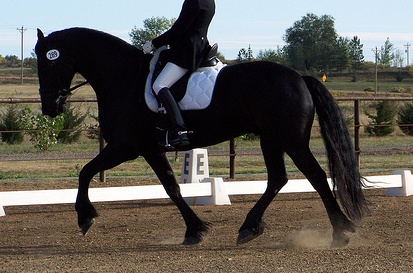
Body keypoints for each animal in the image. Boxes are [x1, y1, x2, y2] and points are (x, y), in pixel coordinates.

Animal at [34, 28, 366, 246]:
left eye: (48, 61)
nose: (49, 107)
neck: (123, 78)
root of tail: (299, 77)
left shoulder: (124, 147)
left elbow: (85, 171)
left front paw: (85, 217)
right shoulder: (150, 149)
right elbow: (171, 187)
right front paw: (194, 230)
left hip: (291, 140)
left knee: (316, 176)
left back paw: (340, 231)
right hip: (270, 139)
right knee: (277, 180)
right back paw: (249, 228)